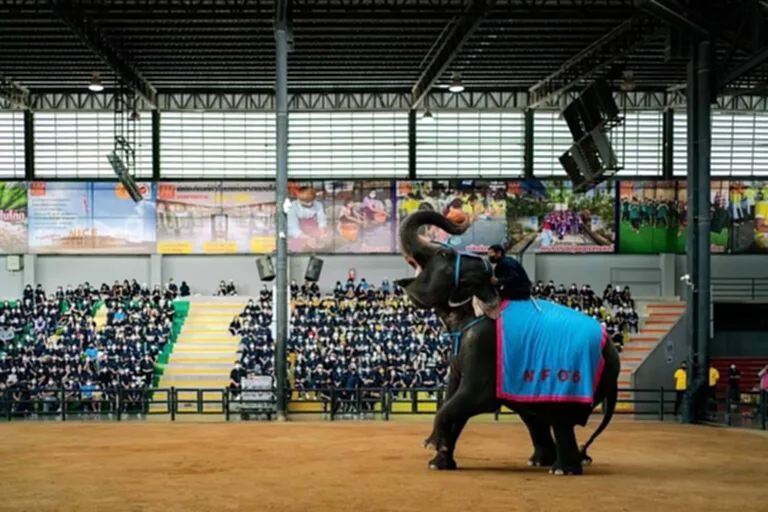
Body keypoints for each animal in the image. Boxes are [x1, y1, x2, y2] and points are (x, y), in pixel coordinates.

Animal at [392, 210, 620, 474]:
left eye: (444, 255)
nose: (463, 219)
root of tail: (612, 350)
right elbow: (452, 395)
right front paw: (438, 462)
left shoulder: (484, 346)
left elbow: (473, 397)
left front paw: (432, 445)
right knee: (535, 417)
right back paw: (540, 461)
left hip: (574, 380)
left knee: (560, 420)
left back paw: (562, 469)